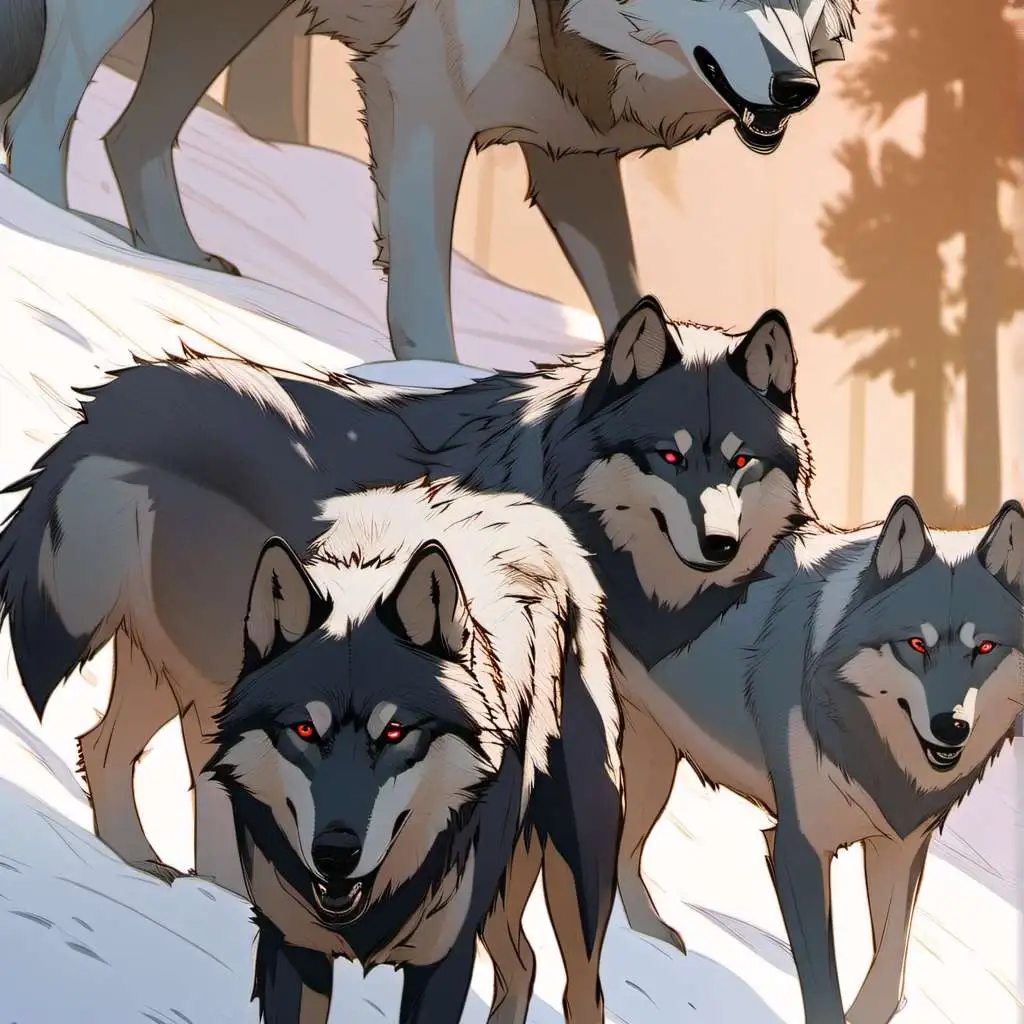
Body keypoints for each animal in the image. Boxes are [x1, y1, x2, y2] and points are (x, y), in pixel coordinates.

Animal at [0, 0, 854, 361]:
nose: (797, 90)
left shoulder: (573, 155)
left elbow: (625, 297)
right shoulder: (418, 97)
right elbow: (418, 294)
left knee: (129, 136)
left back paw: (174, 258)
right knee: (42, 120)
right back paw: (57, 229)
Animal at [0, 293, 813, 1015]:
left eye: (741, 462)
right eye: (669, 454)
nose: (721, 544)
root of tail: (115, 397)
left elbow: (627, 845)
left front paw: (653, 931)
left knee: (104, 746)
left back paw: (150, 872)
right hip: (214, 675)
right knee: (186, 779)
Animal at [614, 495, 1024, 1024]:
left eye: (986, 647)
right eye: (916, 644)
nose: (950, 726)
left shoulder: (899, 845)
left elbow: (889, 974)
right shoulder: (796, 848)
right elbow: (824, 988)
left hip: (655, 763)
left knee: (625, 851)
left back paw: (650, 933)